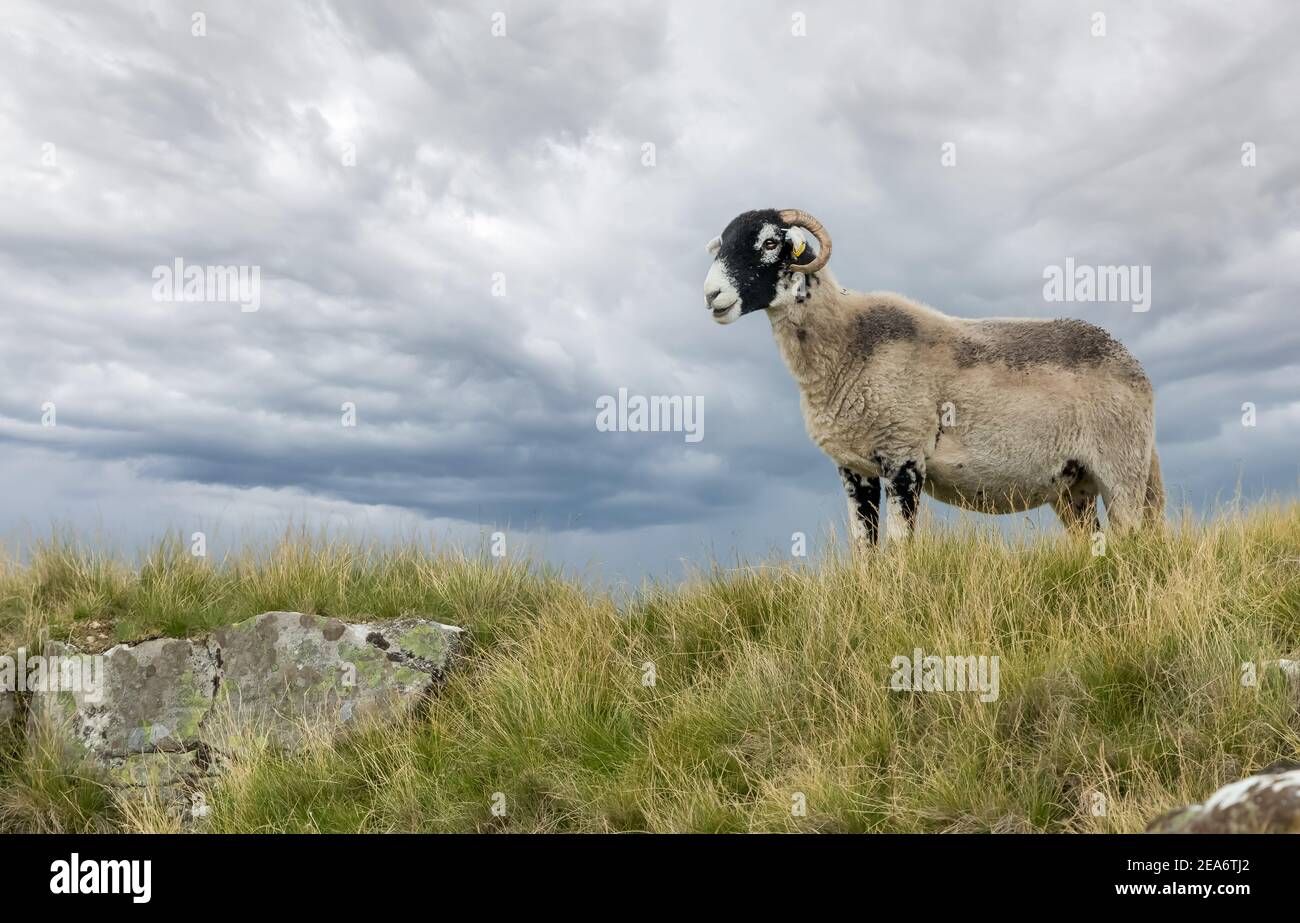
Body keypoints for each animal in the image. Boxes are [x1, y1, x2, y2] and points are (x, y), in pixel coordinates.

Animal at [702, 208, 1163, 545]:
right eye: (720, 247)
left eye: (770, 242)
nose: (711, 296)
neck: (849, 341)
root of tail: (1132, 364)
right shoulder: (853, 468)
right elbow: (864, 549)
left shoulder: (904, 456)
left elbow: (899, 546)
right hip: (1072, 485)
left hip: (1122, 468)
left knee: (1133, 537)